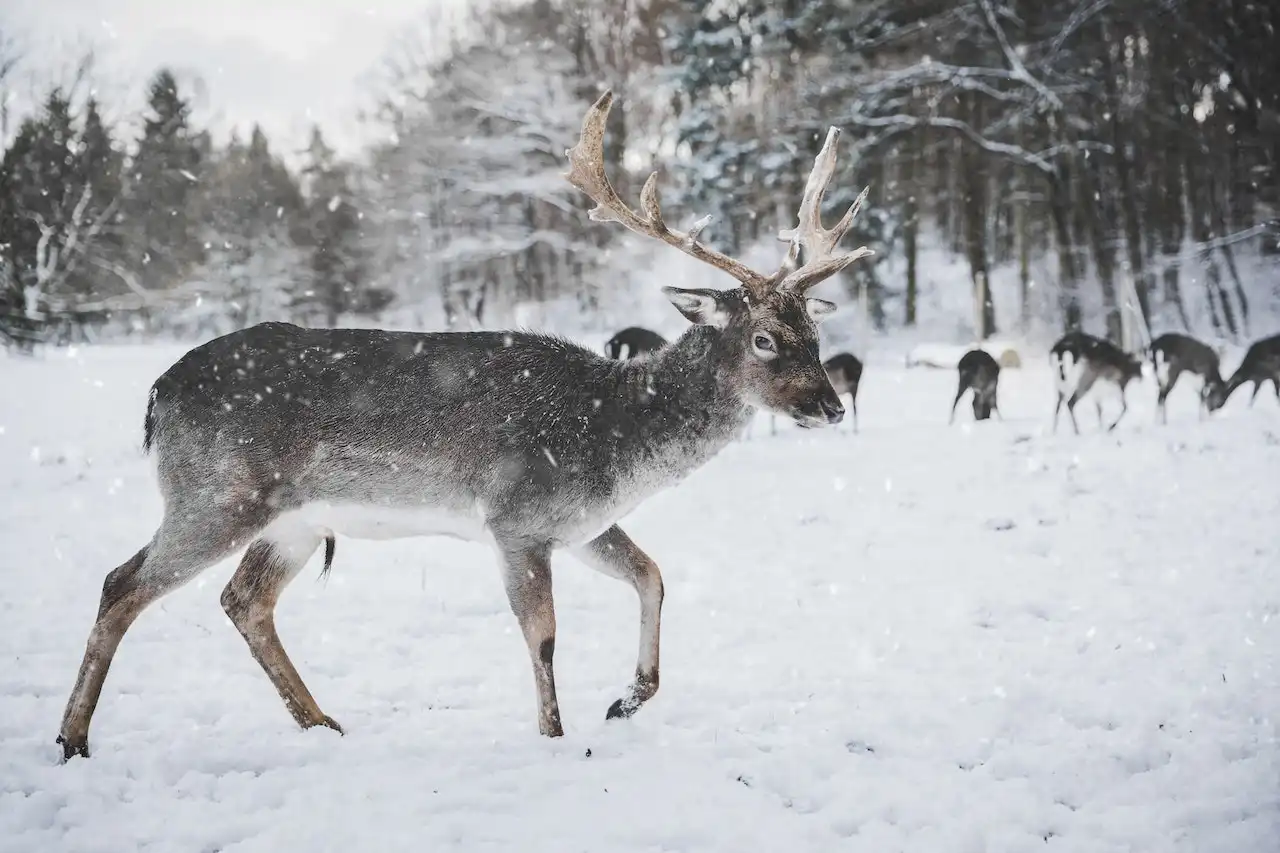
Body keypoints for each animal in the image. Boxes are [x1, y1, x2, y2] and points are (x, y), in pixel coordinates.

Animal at [49, 89, 870, 758]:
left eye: (813, 329)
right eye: (763, 338)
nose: (830, 405)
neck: (615, 438)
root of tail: (157, 393)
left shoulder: (581, 523)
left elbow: (653, 575)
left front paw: (626, 699)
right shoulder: (517, 517)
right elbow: (543, 636)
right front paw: (555, 736)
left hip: (294, 520)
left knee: (243, 600)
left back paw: (323, 724)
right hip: (217, 492)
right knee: (122, 582)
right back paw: (74, 737)